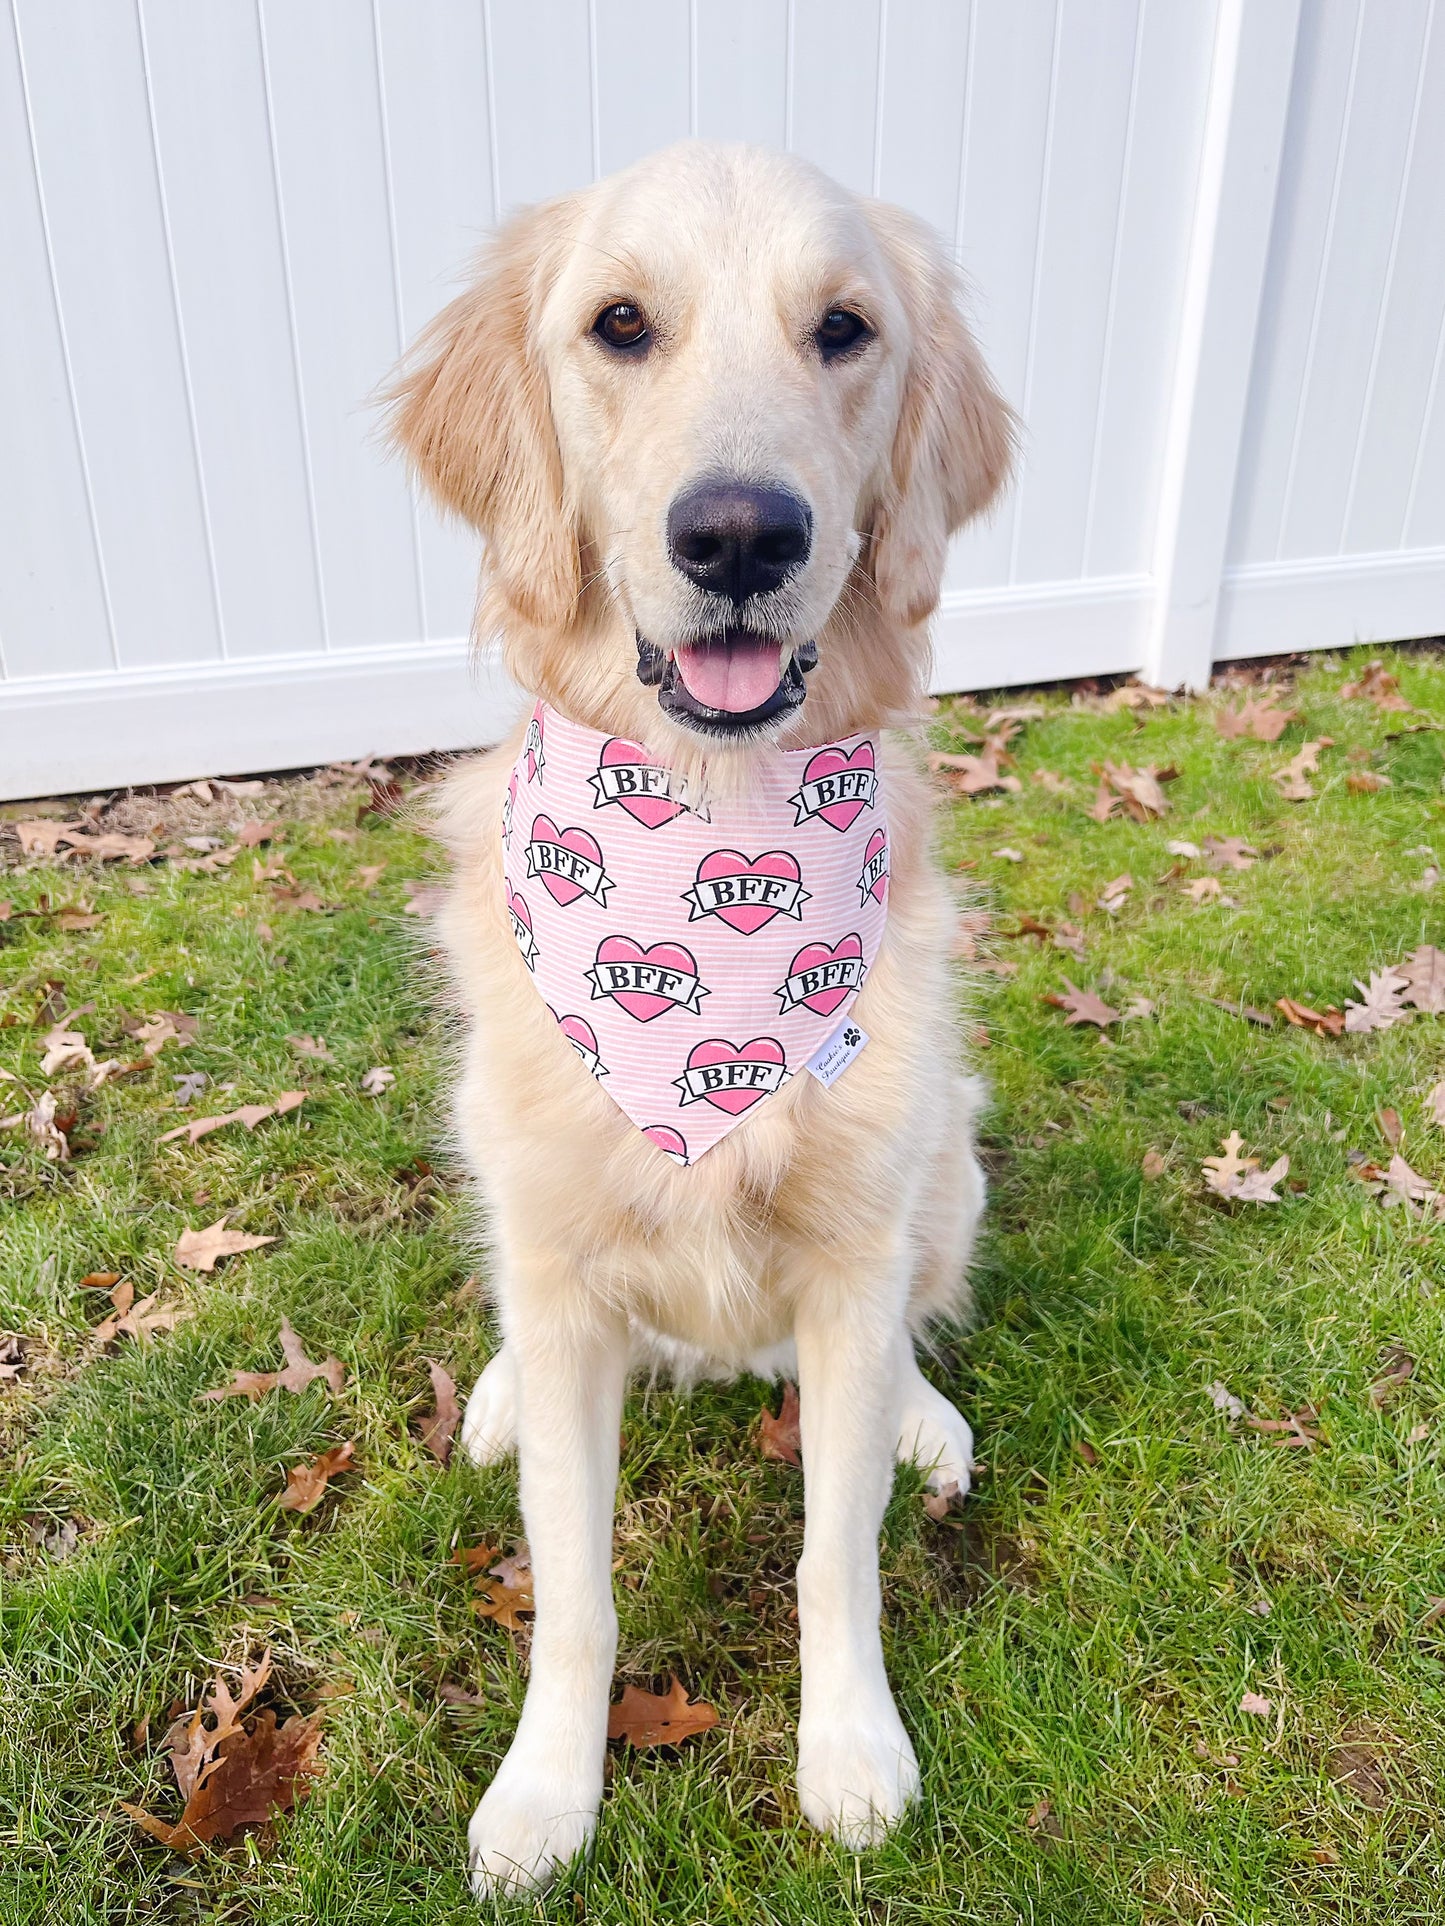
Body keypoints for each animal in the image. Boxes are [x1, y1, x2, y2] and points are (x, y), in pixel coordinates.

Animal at [391, 142, 1009, 1887]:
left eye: (844, 329)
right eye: (619, 323)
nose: (741, 534)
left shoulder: (855, 1254)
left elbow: (833, 1558)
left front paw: (851, 1751)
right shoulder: (559, 1245)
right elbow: (575, 1594)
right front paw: (545, 1793)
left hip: (950, 1165)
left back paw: (925, 1420)